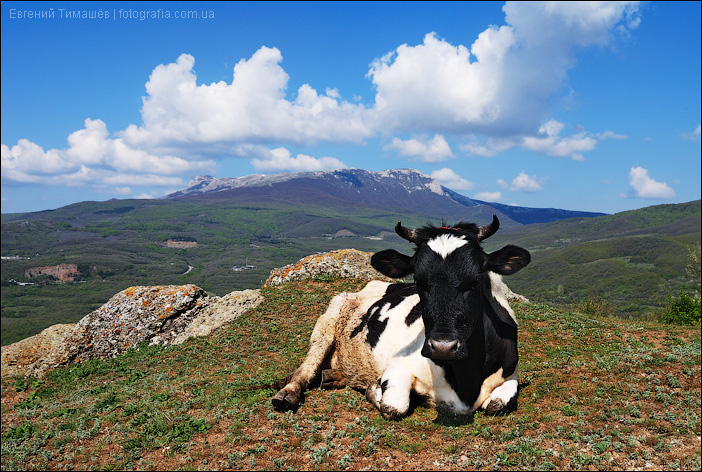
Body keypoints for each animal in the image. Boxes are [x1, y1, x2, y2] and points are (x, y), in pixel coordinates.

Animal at [272, 216, 532, 418]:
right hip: (326, 325)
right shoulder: (398, 366)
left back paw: (334, 376)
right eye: (417, 279)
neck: (465, 383)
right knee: (305, 370)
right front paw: (373, 389)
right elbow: (394, 406)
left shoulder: (512, 374)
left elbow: (498, 404)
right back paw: (287, 394)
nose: (442, 347)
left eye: (476, 278)